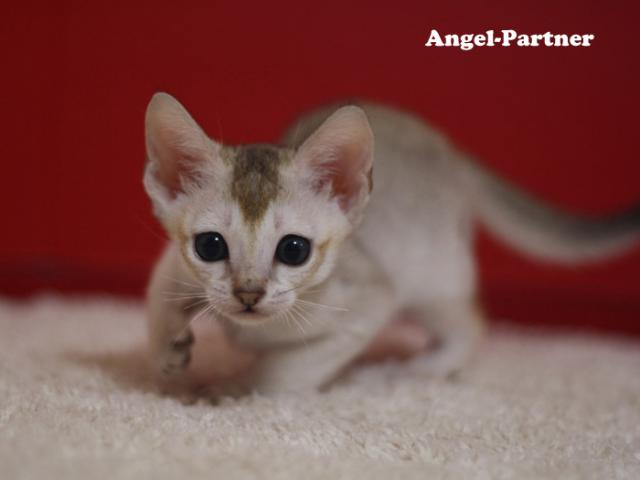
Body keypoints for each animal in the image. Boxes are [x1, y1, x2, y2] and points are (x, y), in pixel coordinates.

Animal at [143, 92, 639, 395]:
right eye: (210, 246)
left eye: (293, 250)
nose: (248, 294)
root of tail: (449, 151)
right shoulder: (176, 264)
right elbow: (157, 299)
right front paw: (169, 349)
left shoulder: (367, 302)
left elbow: (280, 372)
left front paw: (231, 390)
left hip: (433, 277)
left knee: (472, 323)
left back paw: (426, 368)